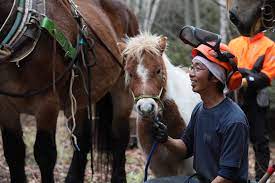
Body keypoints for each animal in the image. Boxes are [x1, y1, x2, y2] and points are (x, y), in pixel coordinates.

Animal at [0, 0, 138, 183]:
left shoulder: (47, 104)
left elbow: (45, 154)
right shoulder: (5, 106)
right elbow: (14, 153)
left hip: (123, 90)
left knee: (120, 137)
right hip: (79, 96)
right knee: (83, 137)